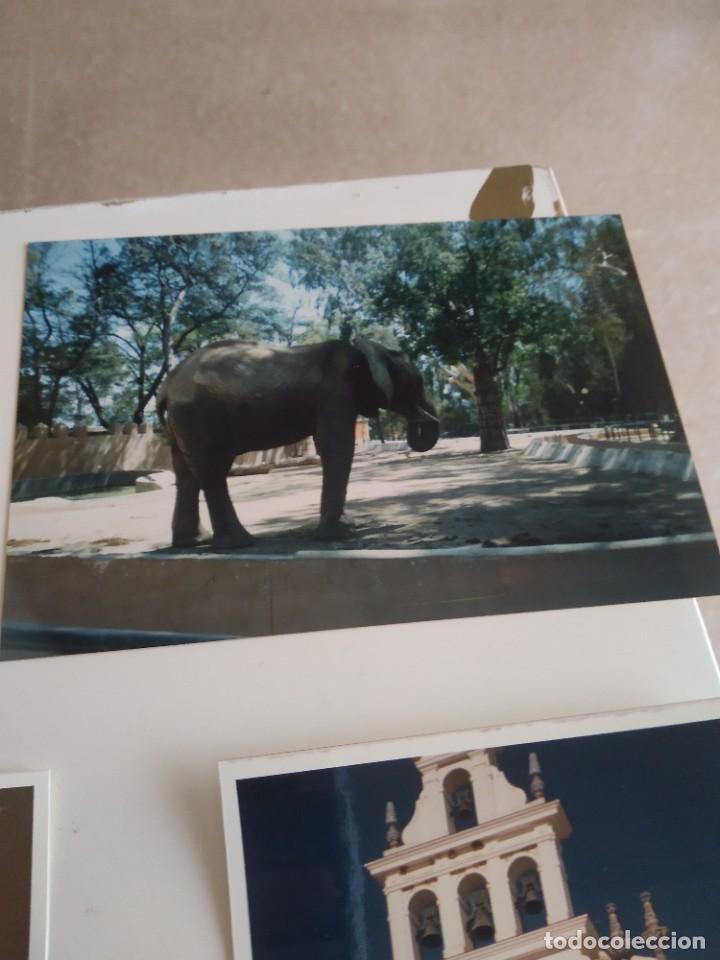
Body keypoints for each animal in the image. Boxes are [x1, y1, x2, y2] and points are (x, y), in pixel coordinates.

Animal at [156, 336, 440, 548]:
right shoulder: (335, 392)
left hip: (183, 421)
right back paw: (239, 543)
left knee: (186, 474)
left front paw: (346, 527)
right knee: (213, 470)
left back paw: (193, 542)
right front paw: (338, 535)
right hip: (199, 416)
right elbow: (336, 445)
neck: (366, 350)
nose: (420, 420)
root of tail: (167, 386)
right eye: (417, 383)